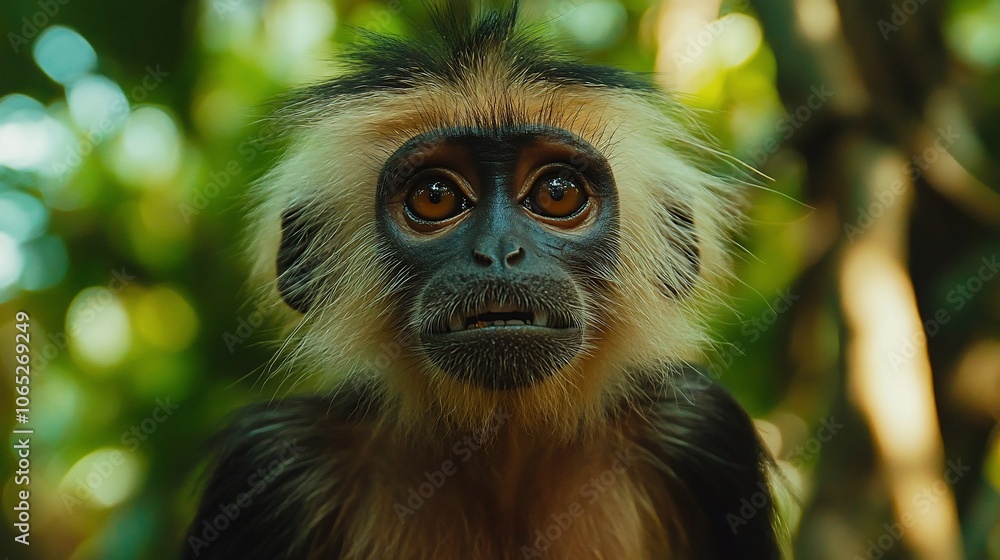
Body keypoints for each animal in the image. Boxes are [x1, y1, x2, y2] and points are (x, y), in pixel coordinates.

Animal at [182, 3, 784, 559]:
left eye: (557, 192)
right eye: (435, 196)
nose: (498, 253)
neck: (503, 450)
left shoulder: (702, 427)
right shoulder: (270, 464)